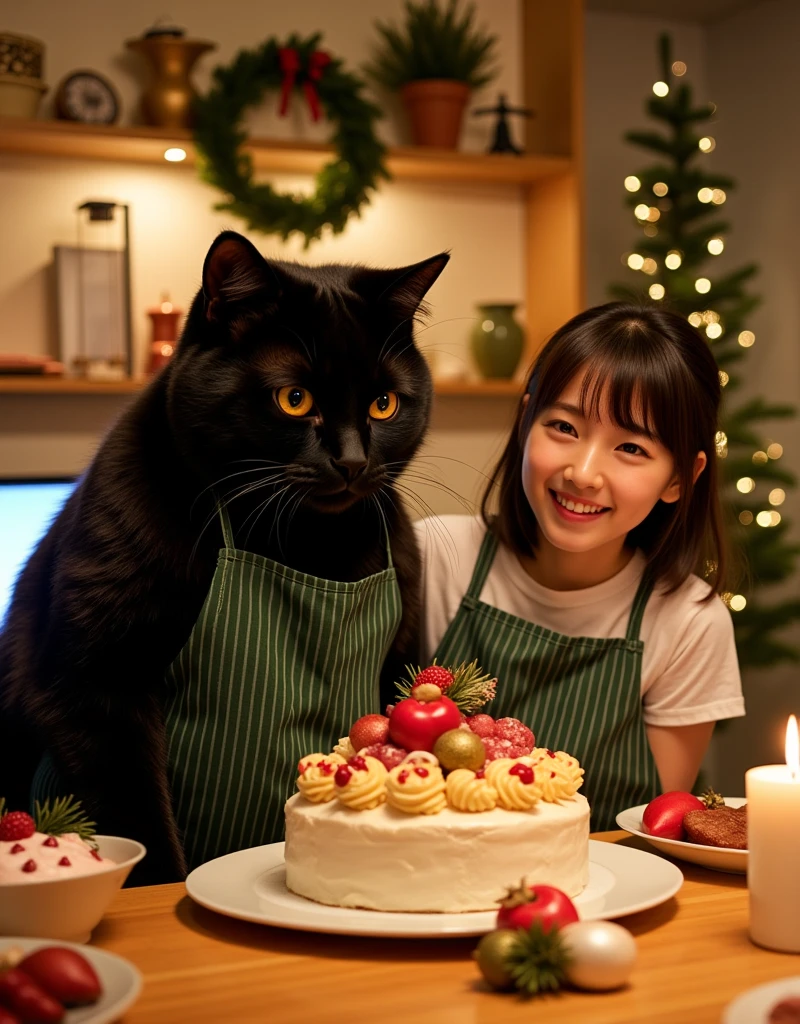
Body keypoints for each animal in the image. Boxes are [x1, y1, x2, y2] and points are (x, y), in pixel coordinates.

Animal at [0, 230, 448, 880]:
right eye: (294, 398)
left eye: (384, 405)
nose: (352, 461)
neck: (297, 543)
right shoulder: (91, 686)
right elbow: (140, 822)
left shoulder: (402, 655)